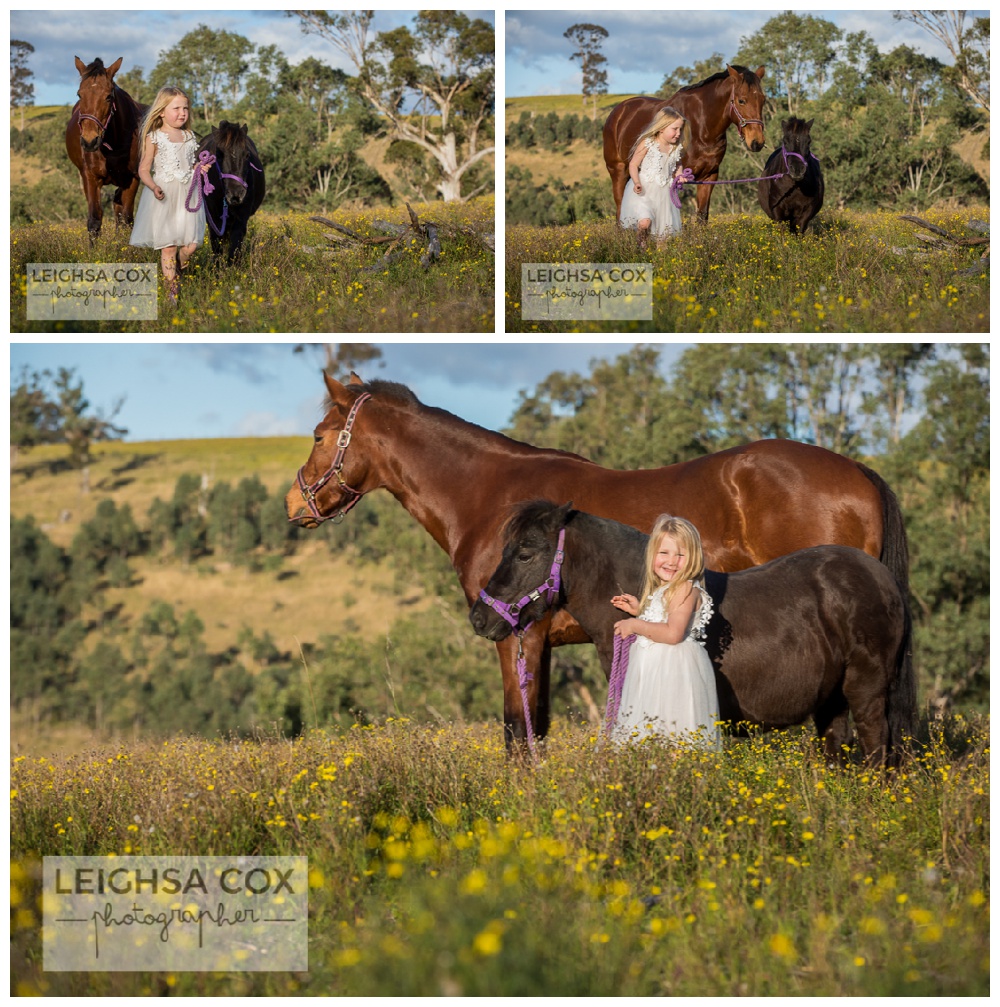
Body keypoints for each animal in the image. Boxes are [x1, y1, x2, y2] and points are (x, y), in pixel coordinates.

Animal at [64, 57, 145, 241]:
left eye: (108, 96)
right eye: (79, 94)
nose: (89, 141)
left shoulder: (132, 178)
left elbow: (126, 218)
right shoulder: (90, 177)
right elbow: (94, 220)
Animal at [192, 120, 265, 263]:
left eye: (247, 155)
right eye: (219, 155)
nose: (236, 194)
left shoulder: (242, 217)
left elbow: (235, 245)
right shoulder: (213, 219)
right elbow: (216, 246)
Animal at [471, 499, 918, 765]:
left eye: (525, 552)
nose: (479, 616)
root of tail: (880, 577)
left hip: (866, 689)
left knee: (877, 746)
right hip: (831, 699)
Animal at [600, 65, 765, 225]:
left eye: (763, 100)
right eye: (741, 100)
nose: (757, 142)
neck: (701, 127)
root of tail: (618, 112)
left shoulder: (709, 176)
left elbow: (702, 216)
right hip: (618, 171)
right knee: (620, 210)